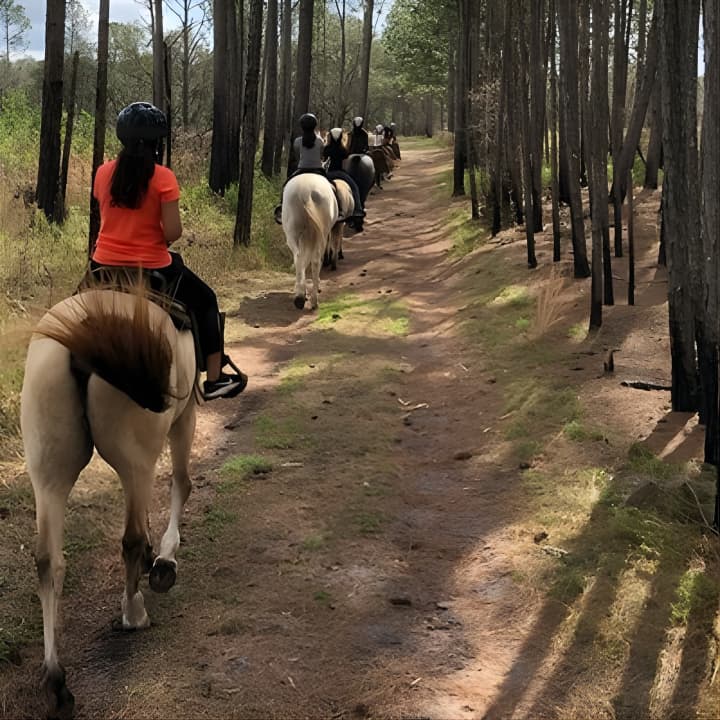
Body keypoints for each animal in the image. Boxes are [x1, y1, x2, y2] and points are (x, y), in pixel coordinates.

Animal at [22, 284, 197, 716]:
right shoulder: (185, 415)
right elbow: (181, 483)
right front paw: (164, 559)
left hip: (49, 469)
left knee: (48, 560)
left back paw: (56, 681)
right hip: (138, 453)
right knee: (130, 537)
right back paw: (133, 611)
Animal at [280, 175, 338, 312]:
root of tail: (305, 192)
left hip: (293, 233)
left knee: (299, 258)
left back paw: (300, 298)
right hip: (320, 234)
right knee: (315, 261)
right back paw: (313, 300)